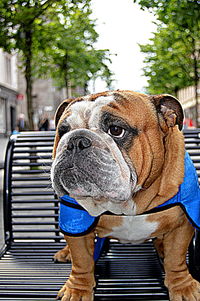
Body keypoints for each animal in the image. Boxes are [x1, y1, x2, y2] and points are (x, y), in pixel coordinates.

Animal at [51, 90, 200, 300]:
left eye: (116, 130)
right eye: (62, 131)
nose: (75, 141)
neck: (130, 202)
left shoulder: (182, 222)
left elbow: (176, 258)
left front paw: (182, 286)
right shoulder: (75, 220)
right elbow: (81, 259)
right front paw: (77, 290)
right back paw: (65, 253)